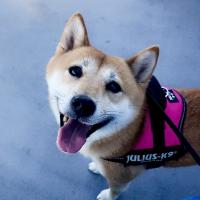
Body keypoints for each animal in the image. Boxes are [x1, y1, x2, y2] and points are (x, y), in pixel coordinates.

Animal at [45, 12, 200, 200]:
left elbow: (115, 190)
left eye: (114, 86)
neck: (133, 130)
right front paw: (97, 166)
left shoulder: (121, 178)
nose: (83, 104)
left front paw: (107, 196)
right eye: (75, 71)